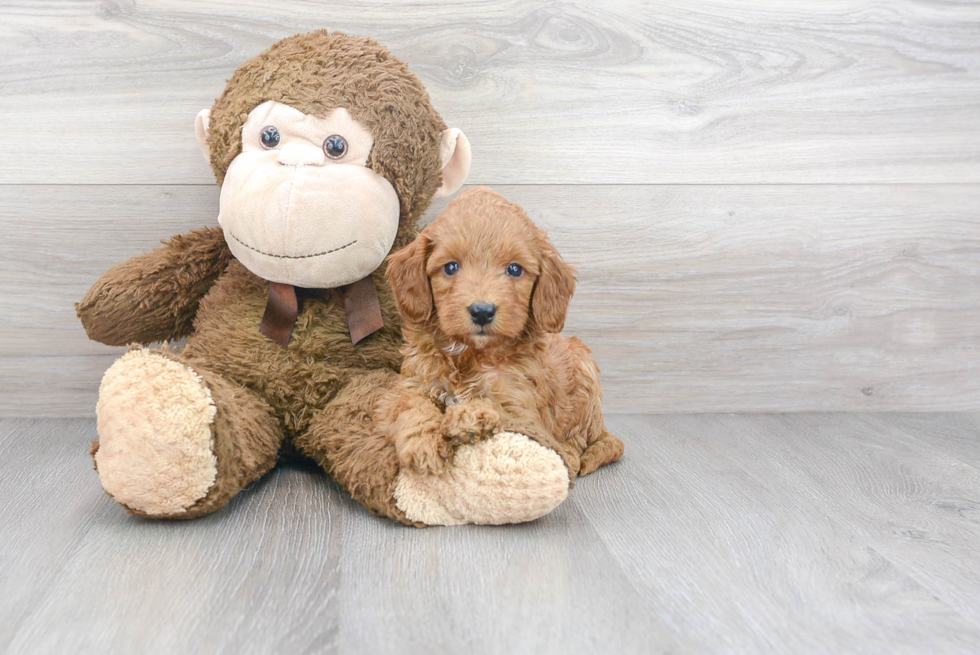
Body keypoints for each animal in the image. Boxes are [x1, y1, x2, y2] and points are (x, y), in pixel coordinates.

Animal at [376, 187, 620, 480]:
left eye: (514, 269)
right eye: (450, 267)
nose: (482, 311)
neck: (469, 354)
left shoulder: (525, 409)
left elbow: (497, 405)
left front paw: (467, 416)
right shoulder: (412, 383)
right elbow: (411, 405)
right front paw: (423, 445)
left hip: (584, 373)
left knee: (578, 439)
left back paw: (571, 458)